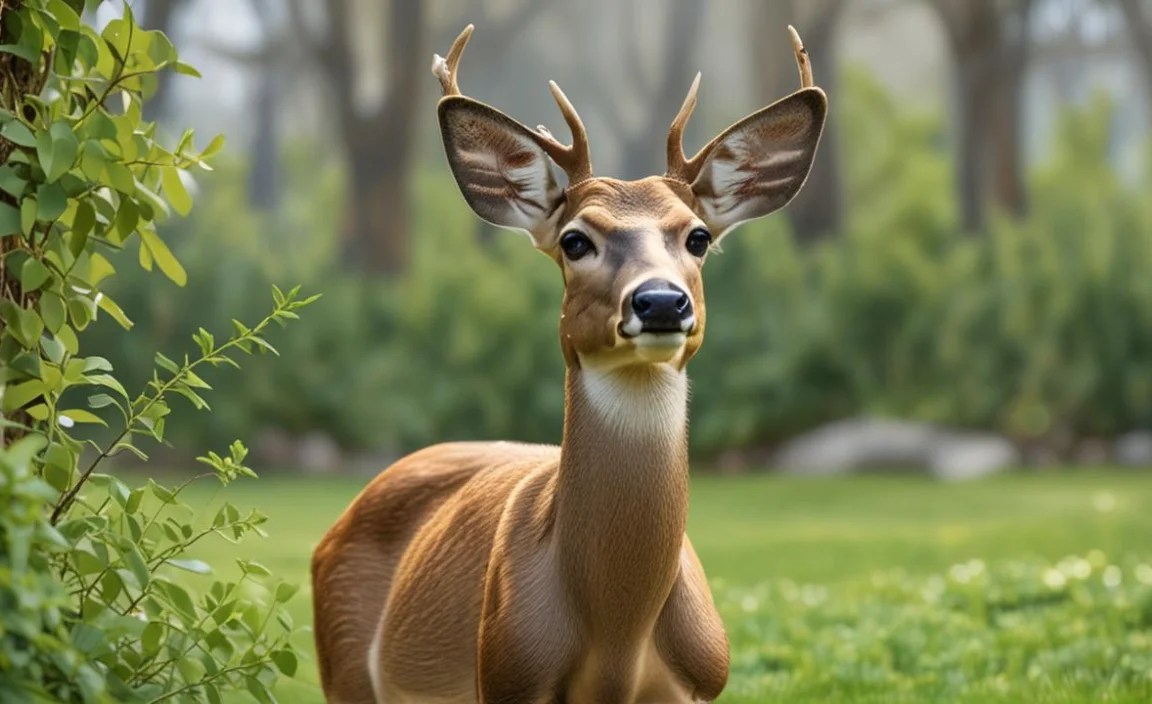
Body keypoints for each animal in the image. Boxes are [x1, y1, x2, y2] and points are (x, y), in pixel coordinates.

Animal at [311, 23, 826, 704]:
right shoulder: (507, 674)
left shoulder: (698, 681)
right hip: (343, 661)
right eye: (575, 240)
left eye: (697, 236)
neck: (617, 641)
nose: (661, 301)